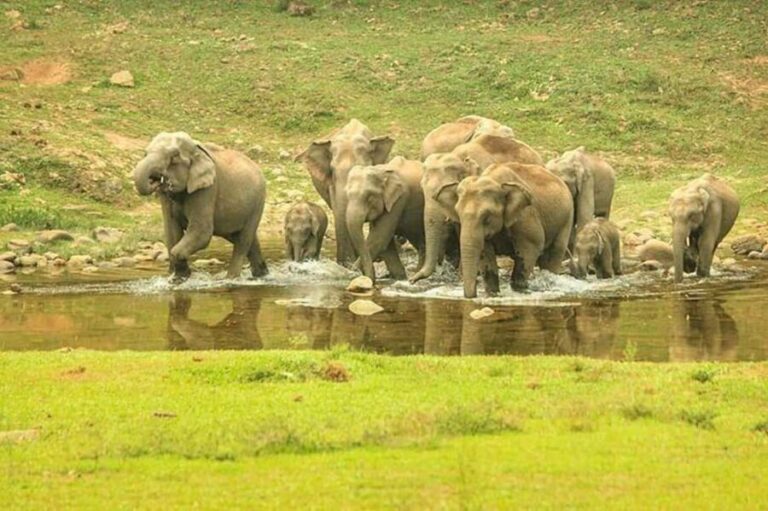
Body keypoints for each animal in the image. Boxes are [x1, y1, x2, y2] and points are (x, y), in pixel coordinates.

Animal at [133, 131, 267, 282]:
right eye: (145, 153)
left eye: (174, 156)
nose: (156, 180)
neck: (197, 151)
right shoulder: (167, 198)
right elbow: (171, 230)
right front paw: (178, 277)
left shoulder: (207, 189)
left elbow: (201, 232)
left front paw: (180, 276)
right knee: (245, 239)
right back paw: (262, 274)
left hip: (257, 204)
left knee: (243, 241)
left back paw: (231, 278)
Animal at [455, 162, 573, 298]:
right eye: (457, 213)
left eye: (486, 216)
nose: (473, 295)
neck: (495, 180)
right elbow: (485, 252)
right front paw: (493, 293)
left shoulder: (526, 215)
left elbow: (531, 247)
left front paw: (520, 289)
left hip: (567, 217)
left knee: (554, 252)